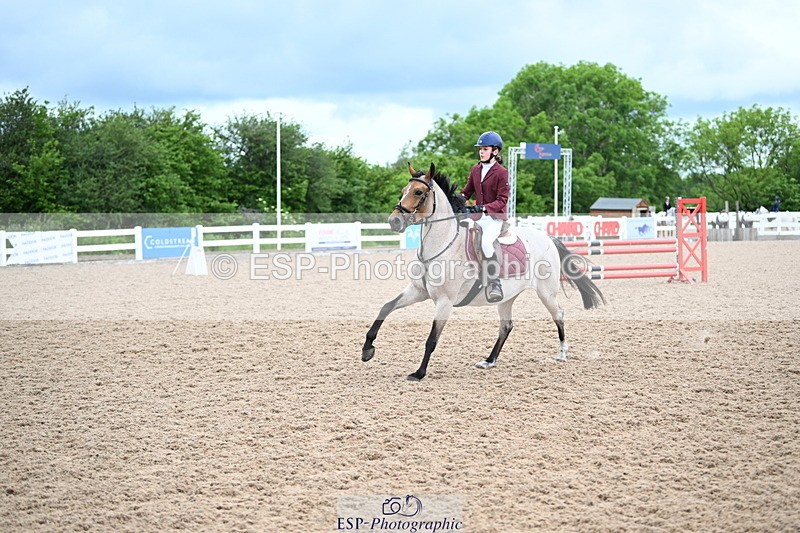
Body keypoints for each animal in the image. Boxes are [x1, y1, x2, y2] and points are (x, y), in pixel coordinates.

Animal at [361, 163, 605, 381]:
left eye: (419, 192)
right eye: (403, 191)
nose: (394, 221)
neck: (441, 244)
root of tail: (547, 238)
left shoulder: (444, 301)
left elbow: (432, 339)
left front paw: (419, 373)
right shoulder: (417, 291)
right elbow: (386, 308)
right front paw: (367, 349)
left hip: (546, 293)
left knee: (559, 315)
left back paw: (562, 353)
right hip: (507, 297)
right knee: (506, 326)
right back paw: (489, 360)